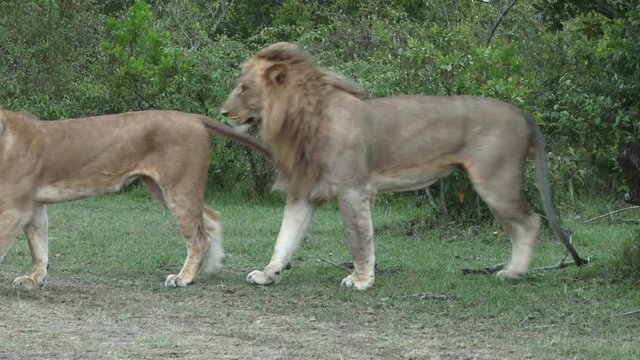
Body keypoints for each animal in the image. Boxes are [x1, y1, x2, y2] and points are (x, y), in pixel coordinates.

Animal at [0, 109, 270, 290]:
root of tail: (192, 117)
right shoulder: (33, 205)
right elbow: (39, 247)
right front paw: (34, 280)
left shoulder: (15, 208)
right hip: (164, 188)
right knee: (212, 216)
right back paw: (214, 268)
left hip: (179, 188)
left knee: (198, 239)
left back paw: (183, 278)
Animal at [222, 41, 588, 290]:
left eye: (244, 88)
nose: (224, 113)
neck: (297, 122)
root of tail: (521, 113)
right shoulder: (304, 193)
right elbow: (285, 238)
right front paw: (268, 274)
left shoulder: (353, 189)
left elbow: (359, 238)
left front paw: (361, 280)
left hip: (496, 179)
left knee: (529, 222)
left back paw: (514, 272)